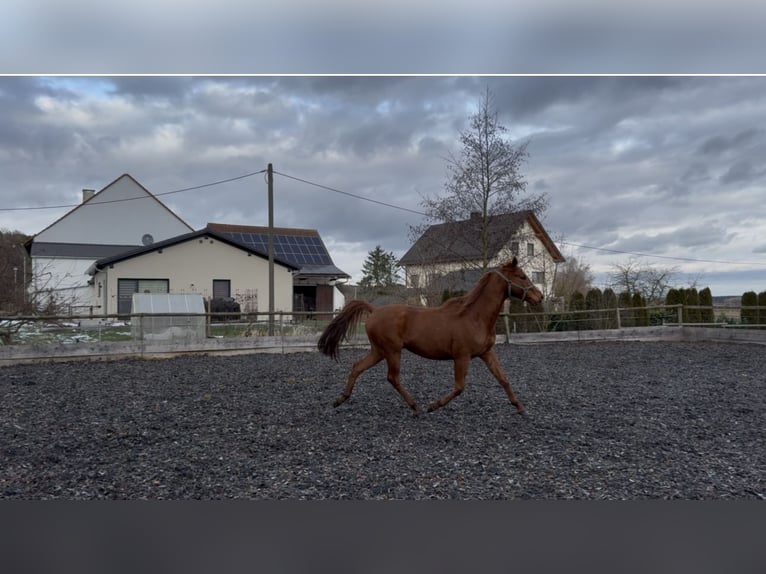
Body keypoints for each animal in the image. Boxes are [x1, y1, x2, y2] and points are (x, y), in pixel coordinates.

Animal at [317, 257, 543, 415]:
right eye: (522, 276)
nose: (539, 297)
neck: (475, 316)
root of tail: (374, 310)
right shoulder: (462, 356)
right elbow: (459, 387)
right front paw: (433, 406)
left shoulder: (487, 353)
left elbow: (503, 379)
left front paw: (520, 407)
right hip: (392, 351)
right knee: (392, 377)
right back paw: (416, 407)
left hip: (379, 351)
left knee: (358, 367)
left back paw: (340, 399)